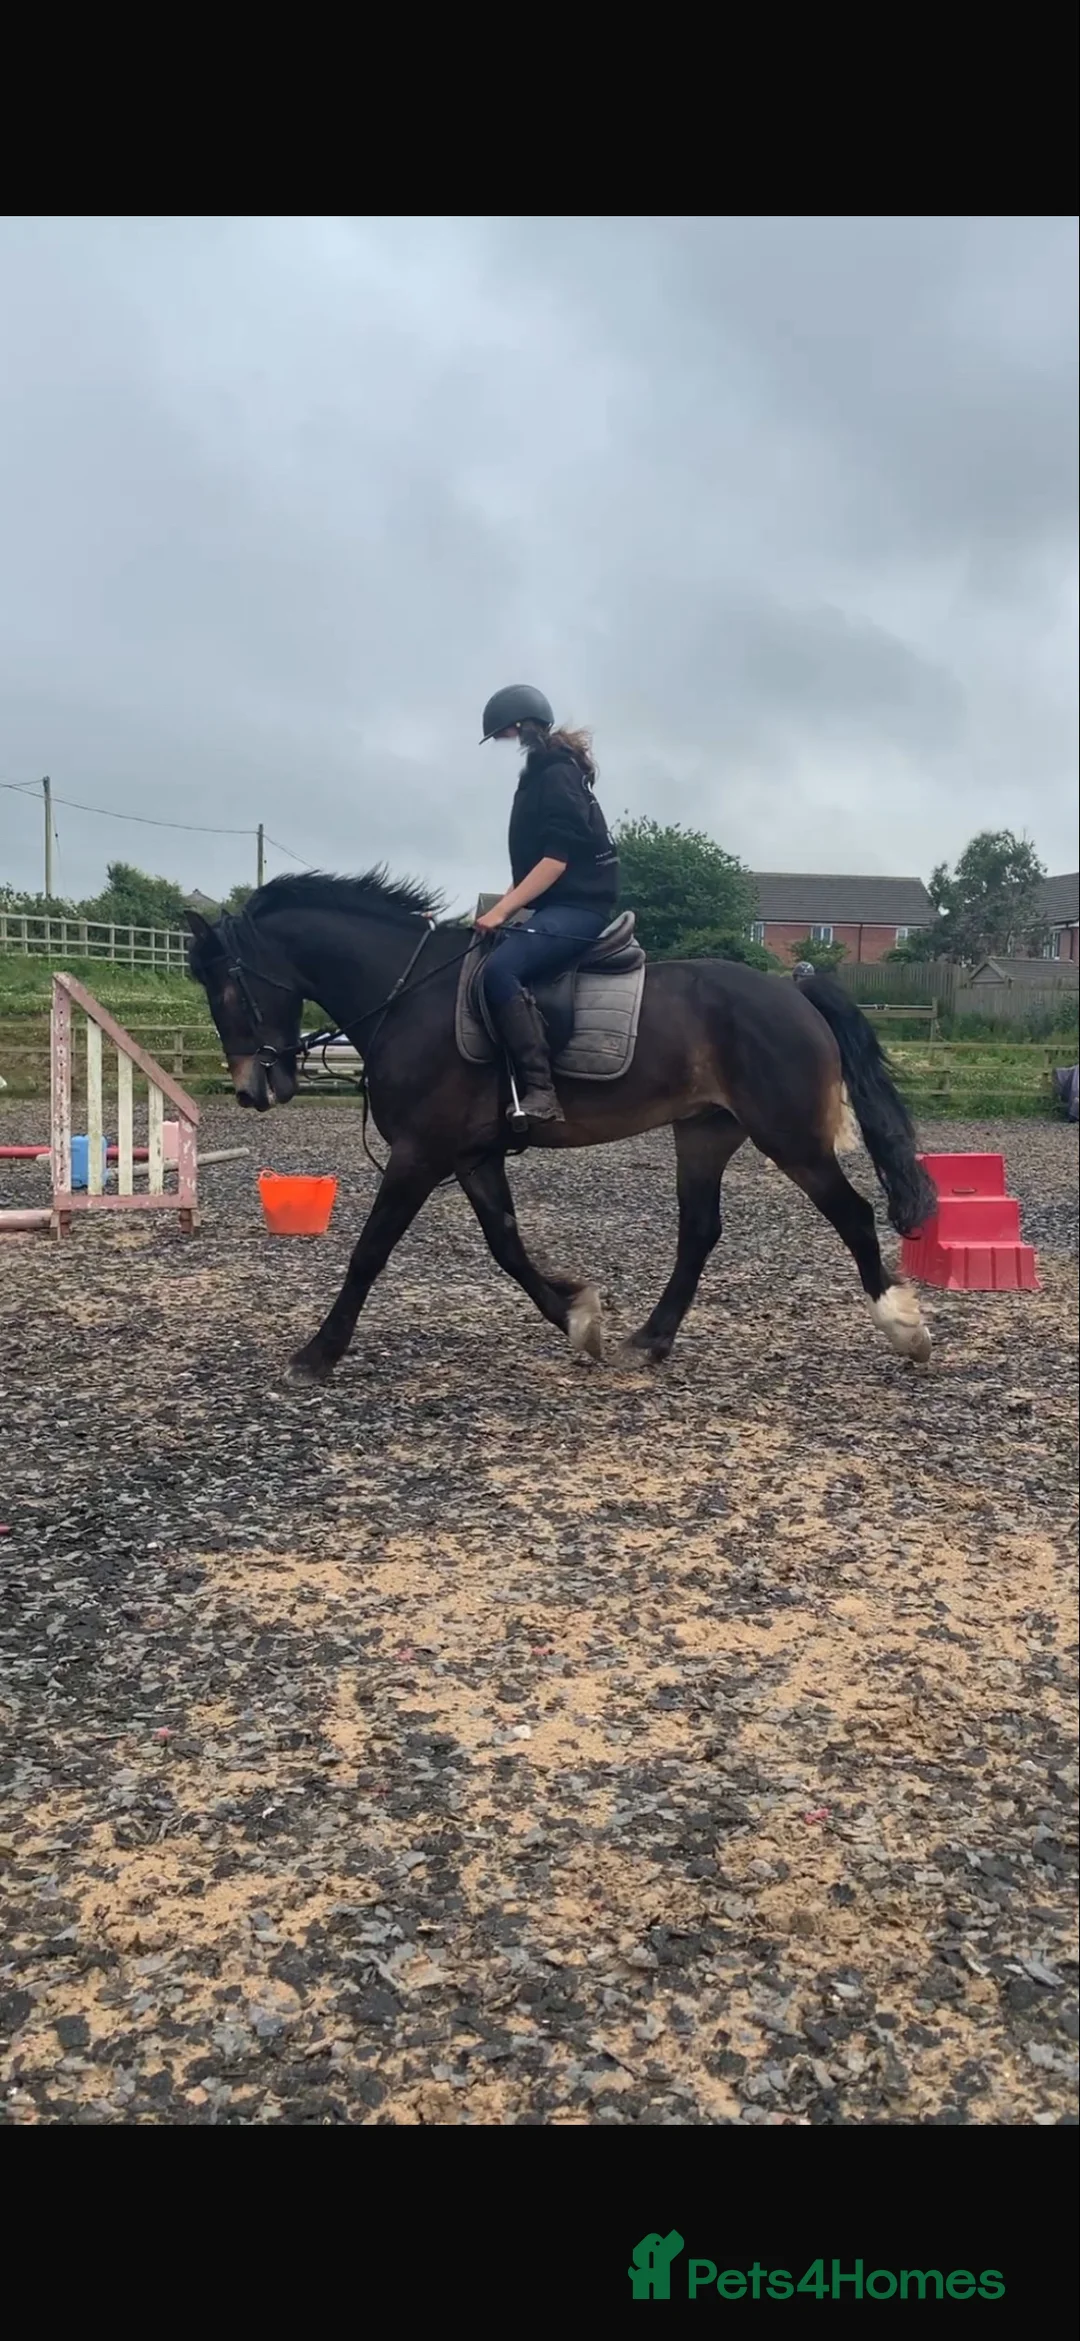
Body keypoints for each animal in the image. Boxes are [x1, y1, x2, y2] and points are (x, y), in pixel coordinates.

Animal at [185, 870, 935, 1385]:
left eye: (225, 988)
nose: (253, 1090)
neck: (409, 997)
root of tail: (791, 990)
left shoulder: (420, 1153)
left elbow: (370, 1251)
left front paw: (317, 1353)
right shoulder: (472, 1155)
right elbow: (507, 1247)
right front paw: (579, 1317)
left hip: (790, 1136)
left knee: (853, 1213)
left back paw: (903, 1327)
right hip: (704, 1132)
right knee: (700, 1232)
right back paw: (649, 1340)